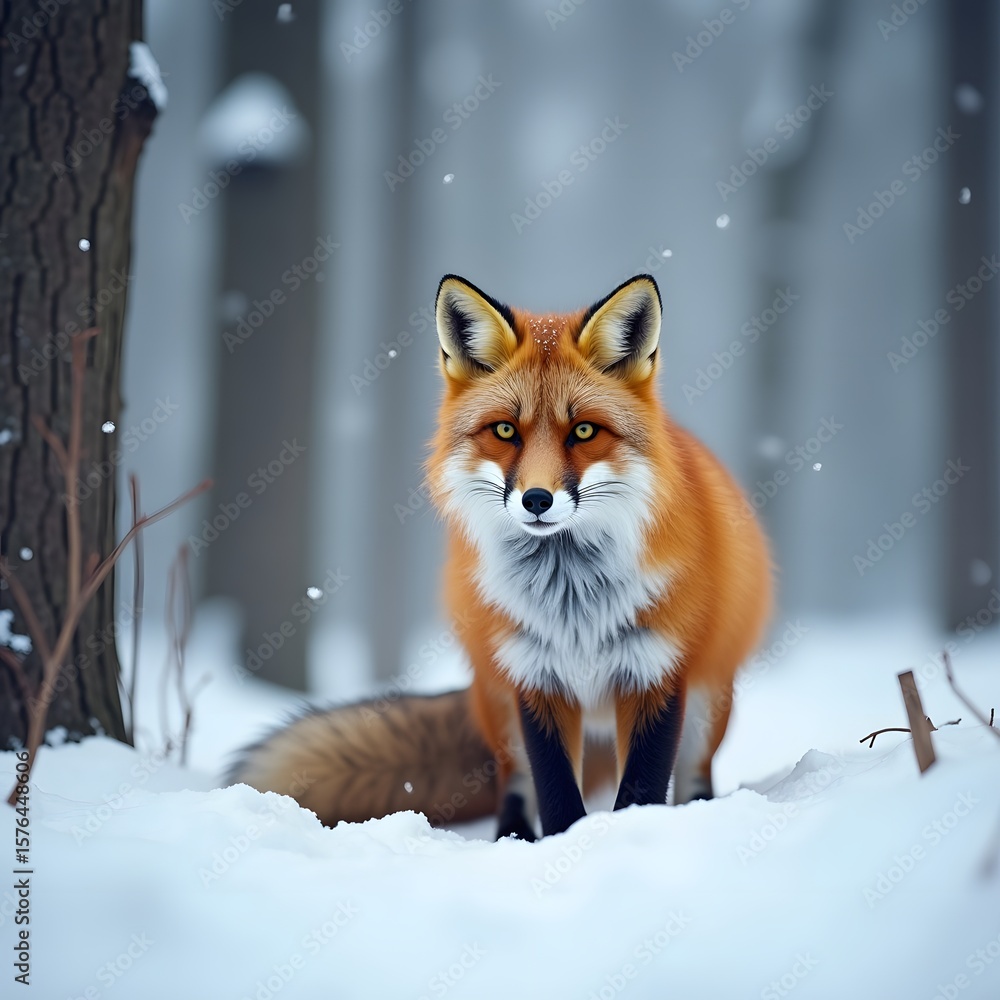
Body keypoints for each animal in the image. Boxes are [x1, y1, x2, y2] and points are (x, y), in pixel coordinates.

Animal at [230, 273, 772, 840]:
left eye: (583, 431)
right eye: (505, 430)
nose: (536, 499)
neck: (573, 601)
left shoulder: (656, 673)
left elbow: (641, 791)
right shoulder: (536, 679)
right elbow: (555, 792)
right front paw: (562, 844)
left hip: (708, 705)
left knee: (694, 777)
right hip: (499, 701)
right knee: (514, 783)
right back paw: (512, 838)